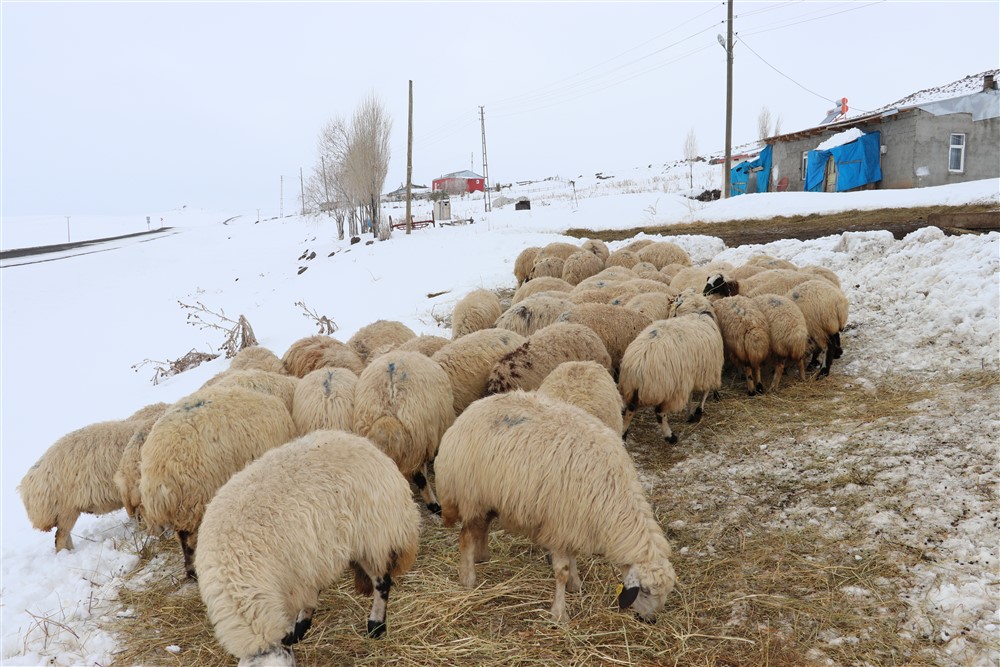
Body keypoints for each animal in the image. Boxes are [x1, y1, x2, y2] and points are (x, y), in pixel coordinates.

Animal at [141, 386, 296, 580]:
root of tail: (158, 478)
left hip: (184, 511)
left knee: (183, 540)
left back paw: (190, 571)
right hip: (195, 502)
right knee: (190, 541)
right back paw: (193, 570)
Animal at [195, 430, 418, 664]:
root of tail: (362, 443)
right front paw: (300, 627)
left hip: (372, 537)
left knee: (382, 582)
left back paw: (376, 625)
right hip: (318, 552)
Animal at [436, 392, 676, 628]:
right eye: (644, 591)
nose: (650, 620)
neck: (613, 492)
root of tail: (469, 412)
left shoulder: (573, 522)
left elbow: (573, 557)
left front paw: (575, 584)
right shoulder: (560, 523)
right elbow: (562, 570)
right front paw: (559, 613)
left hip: (491, 496)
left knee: (483, 525)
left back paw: (482, 556)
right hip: (471, 495)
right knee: (466, 537)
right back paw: (468, 579)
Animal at [616, 290, 728, 444]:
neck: (697, 313)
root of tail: (639, 364)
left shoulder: (692, 374)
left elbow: (691, 396)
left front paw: (690, 413)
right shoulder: (708, 370)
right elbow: (705, 392)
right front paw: (698, 412)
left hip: (632, 390)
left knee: (629, 411)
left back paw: (623, 435)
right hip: (670, 389)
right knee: (660, 413)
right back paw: (670, 436)